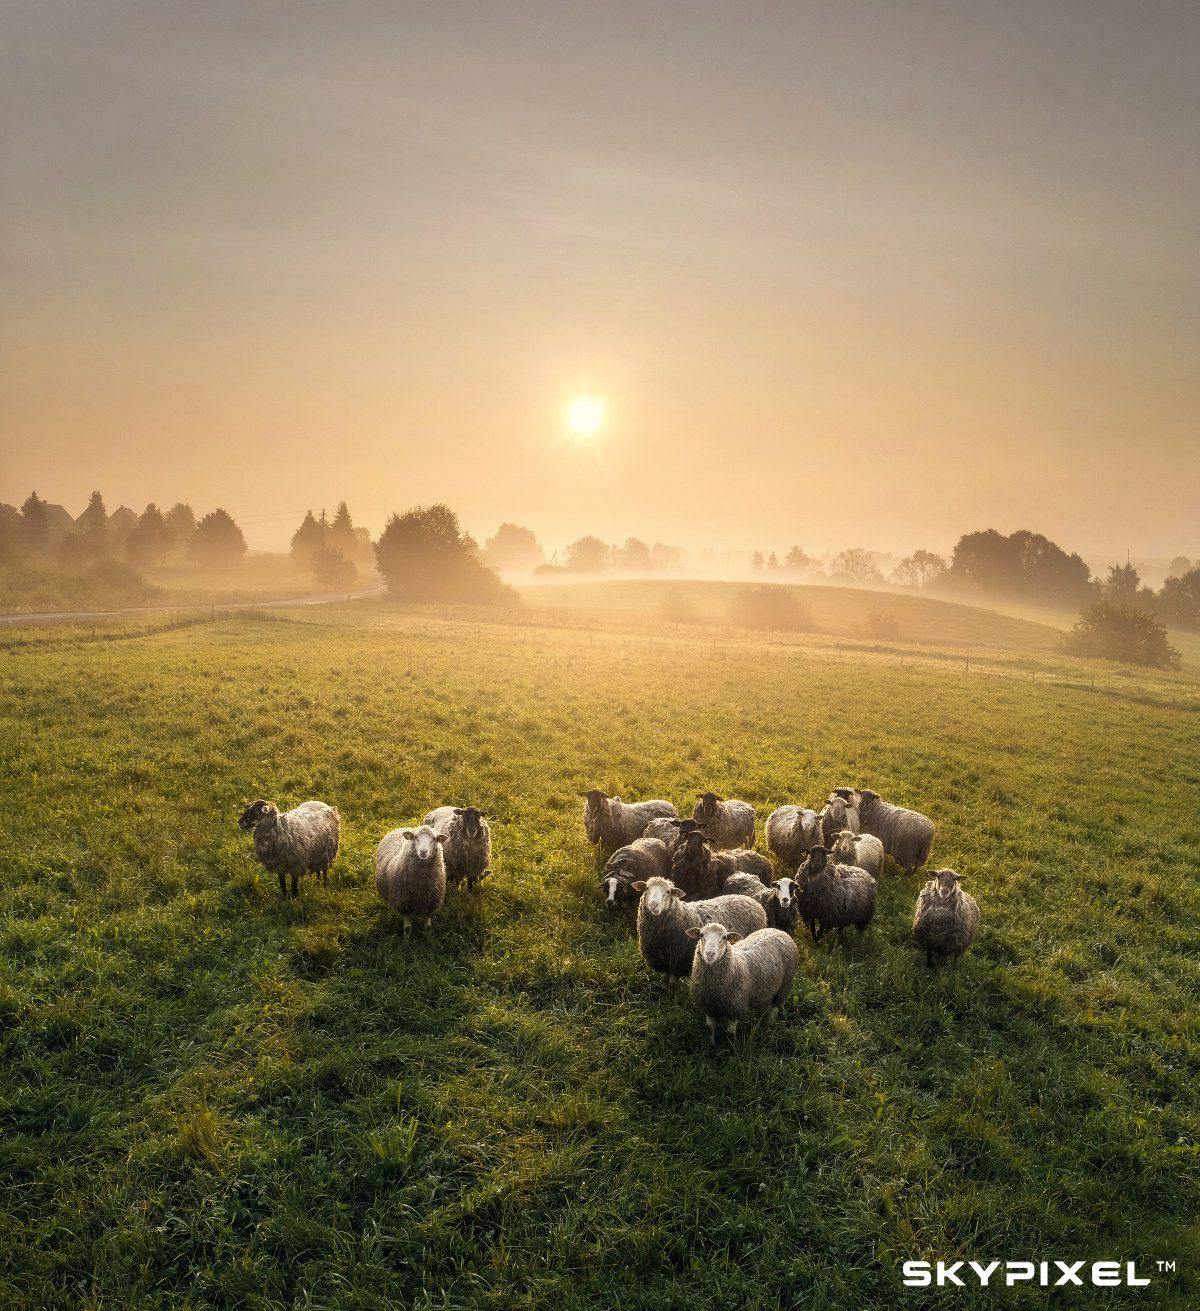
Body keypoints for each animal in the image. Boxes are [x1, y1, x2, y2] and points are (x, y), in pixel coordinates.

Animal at [629, 875, 771, 985]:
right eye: (647, 888)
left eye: (668, 891)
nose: (653, 905)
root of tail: (750, 899)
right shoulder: (664, 961)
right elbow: (665, 981)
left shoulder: (678, 961)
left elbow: (672, 984)